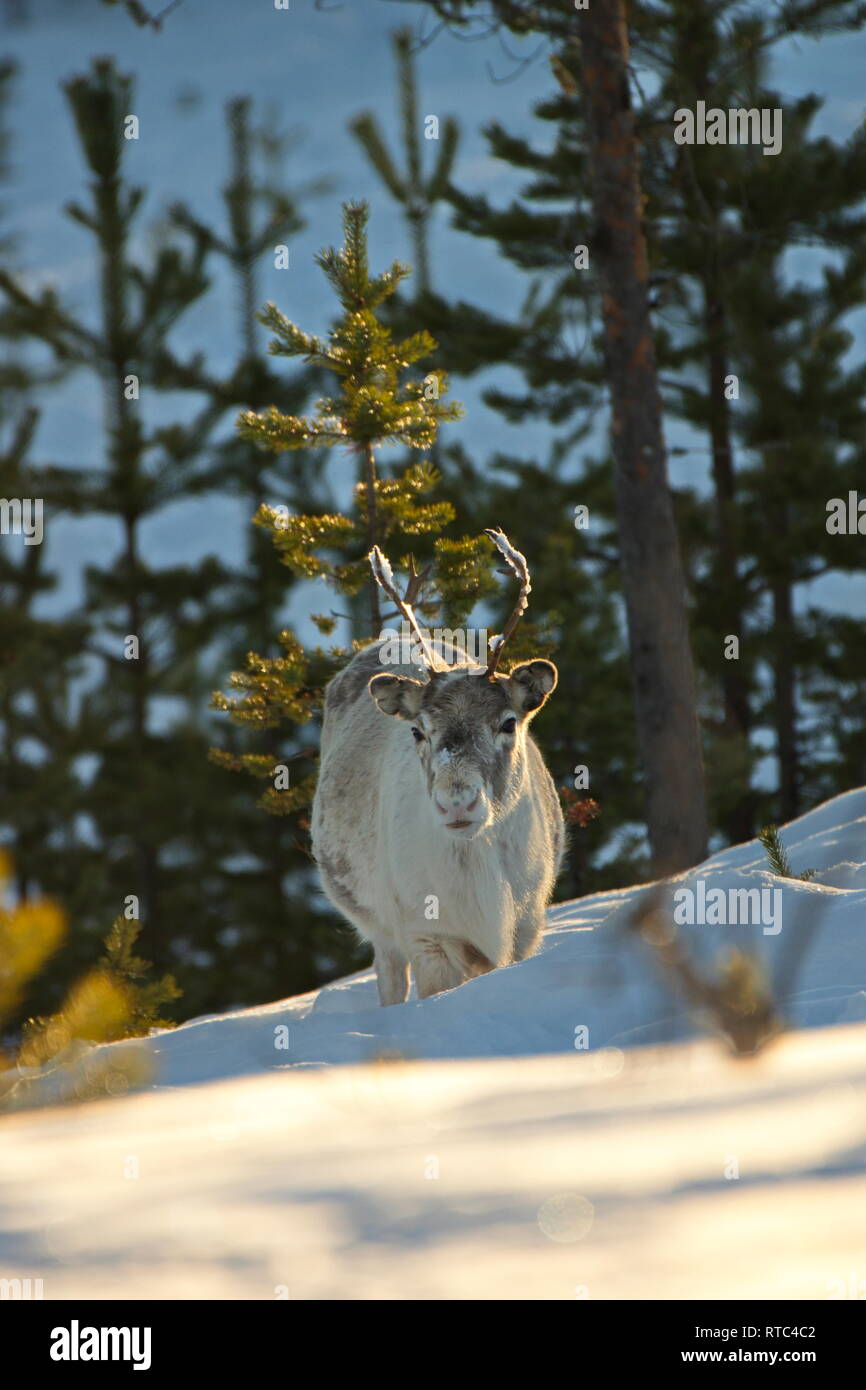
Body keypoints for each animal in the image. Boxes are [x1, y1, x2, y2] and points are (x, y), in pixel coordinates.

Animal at [311, 529, 565, 1005]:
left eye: (508, 722)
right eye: (417, 730)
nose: (457, 804)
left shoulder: (526, 926)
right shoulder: (426, 933)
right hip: (379, 924)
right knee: (389, 976)